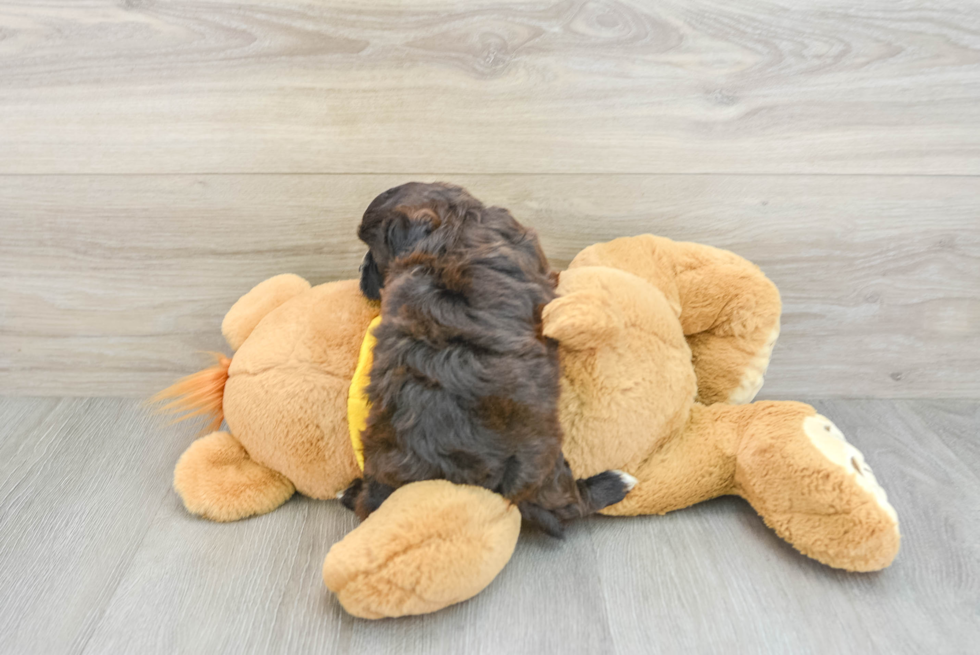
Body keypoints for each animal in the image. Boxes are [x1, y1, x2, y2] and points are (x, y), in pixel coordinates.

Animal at [342, 182, 636, 536]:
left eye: (372, 251)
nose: (360, 271)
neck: (452, 228)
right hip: (545, 462)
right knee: (571, 505)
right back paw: (613, 483)